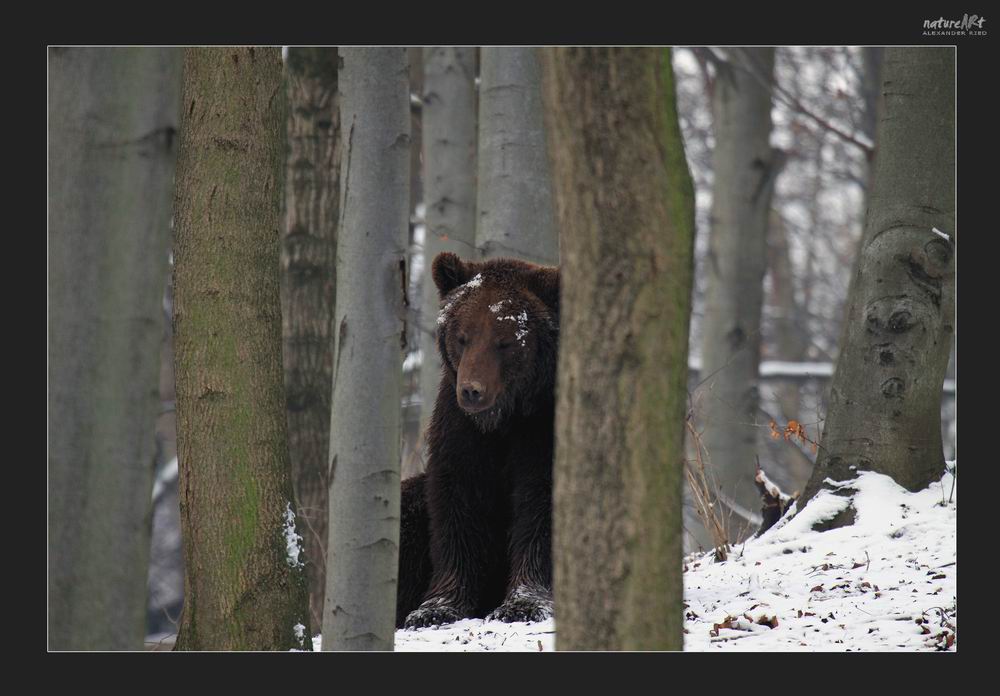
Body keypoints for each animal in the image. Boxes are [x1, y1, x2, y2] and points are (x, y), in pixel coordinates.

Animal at [394, 251, 560, 632]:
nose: (472, 390)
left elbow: (540, 504)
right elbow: (458, 506)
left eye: (506, 340)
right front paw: (435, 609)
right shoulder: (461, 433)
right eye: (463, 336)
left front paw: (523, 603)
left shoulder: (541, 427)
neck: (504, 419)